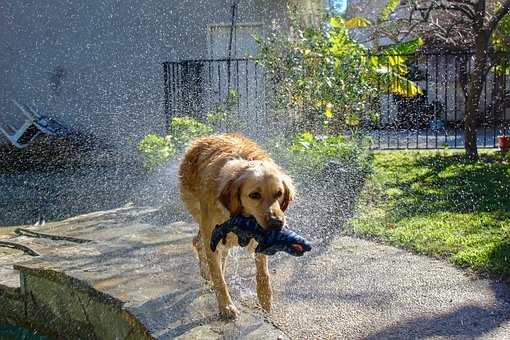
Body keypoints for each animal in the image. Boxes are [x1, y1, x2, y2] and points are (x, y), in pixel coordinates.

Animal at [179, 133, 294, 318]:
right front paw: (226, 306)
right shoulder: (212, 235)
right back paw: (206, 272)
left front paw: (265, 300)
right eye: (254, 195)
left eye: (279, 193)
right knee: (199, 243)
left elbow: (263, 273)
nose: (277, 223)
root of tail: (202, 139)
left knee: (215, 250)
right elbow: (218, 277)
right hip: (200, 215)